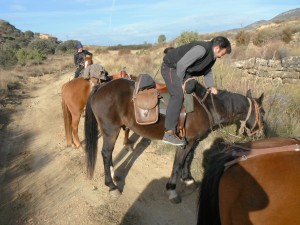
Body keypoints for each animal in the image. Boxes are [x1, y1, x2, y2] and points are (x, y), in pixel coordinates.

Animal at [83, 78, 264, 203]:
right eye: (262, 112)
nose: (260, 134)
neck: (206, 106)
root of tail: (101, 87)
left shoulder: (194, 141)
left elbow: (188, 159)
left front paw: (188, 179)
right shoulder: (186, 142)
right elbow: (178, 163)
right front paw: (172, 190)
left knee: (109, 155)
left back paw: (114, 177)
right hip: (110, 131)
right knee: (106, 153)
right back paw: (112, 186)